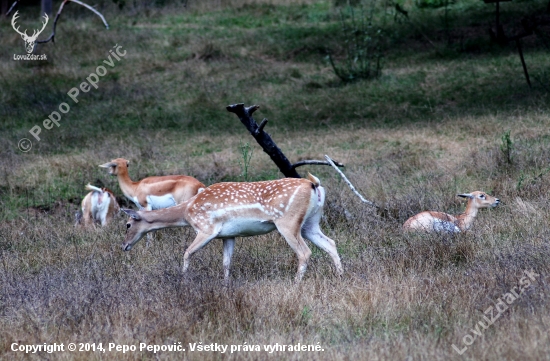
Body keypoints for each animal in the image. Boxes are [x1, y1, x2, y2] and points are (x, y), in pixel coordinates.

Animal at [122, 174, 344, 282]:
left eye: (127, 224)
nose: (124, 246)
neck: (186, 211)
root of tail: (315, 185)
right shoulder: (228, 235)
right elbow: (226, 263)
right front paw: (226, 284)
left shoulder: (206, 229)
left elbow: (186, 252)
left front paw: (183, 280)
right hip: (310, 222)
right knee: (330, 243)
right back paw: (340, 276)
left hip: (287, 222)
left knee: (305, 252)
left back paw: (296, 283)